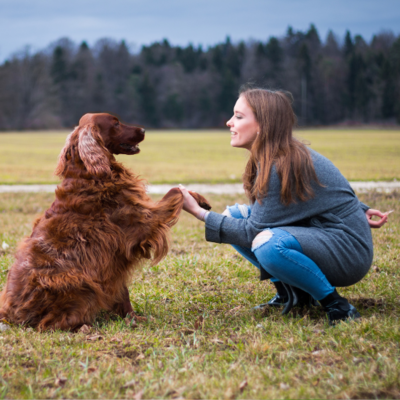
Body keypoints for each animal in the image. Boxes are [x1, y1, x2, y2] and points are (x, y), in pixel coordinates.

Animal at [0, 112, 211, 332]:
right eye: (116, 123)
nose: (144, 130)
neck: (89, 174)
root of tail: (9, 316)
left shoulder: (114, 257)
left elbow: (122, 292)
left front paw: (131, 318)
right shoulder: (144, 222)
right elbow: (175, 191)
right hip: (80, 283)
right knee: (49, 324)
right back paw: (84, 327)